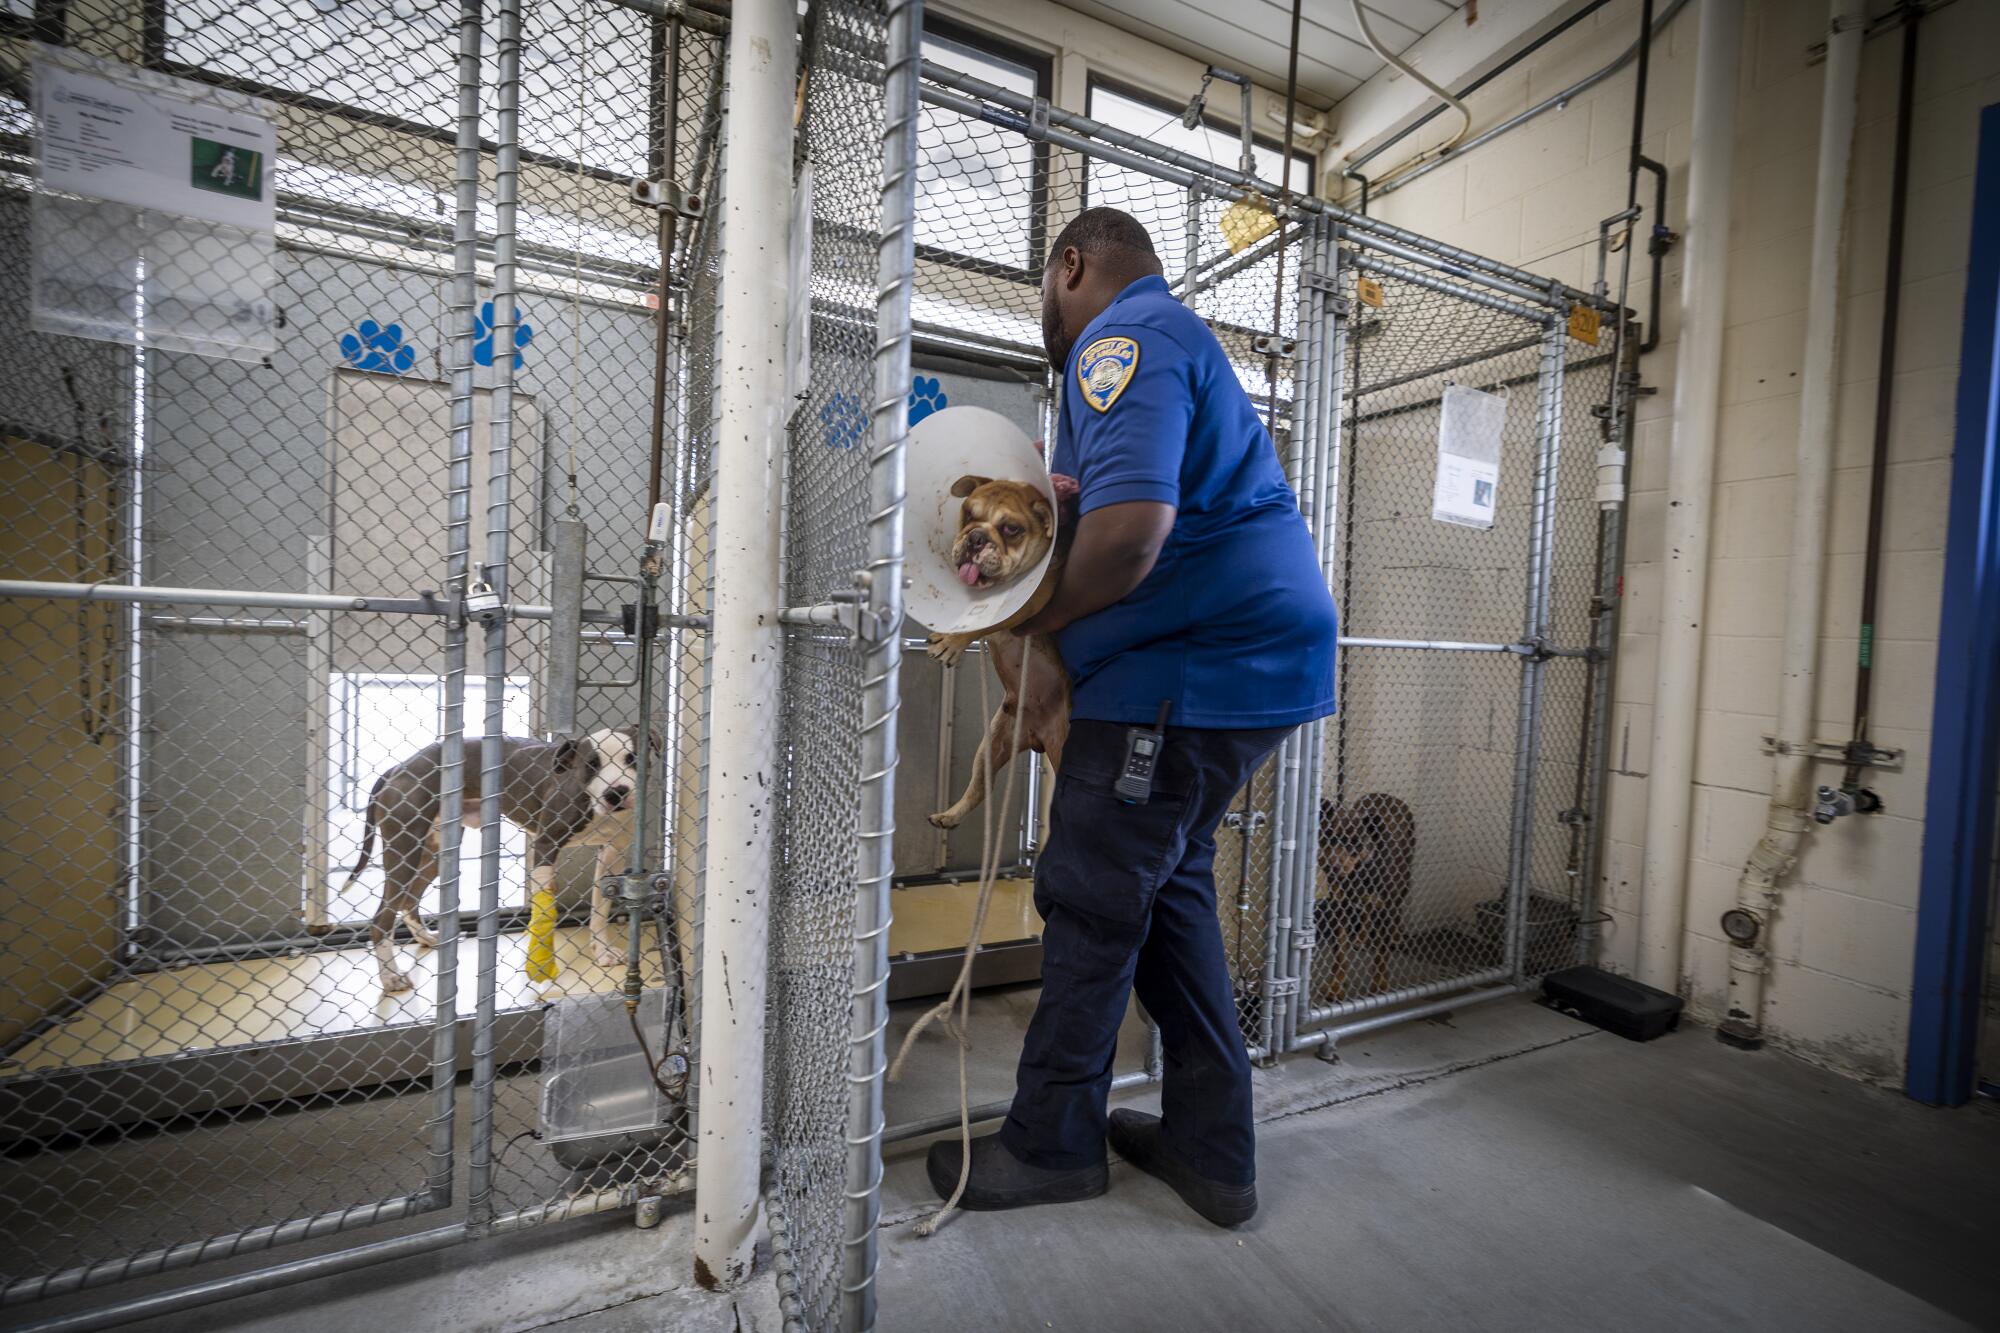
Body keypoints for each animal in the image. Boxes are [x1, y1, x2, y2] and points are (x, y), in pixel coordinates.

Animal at [332, 728, 652, 984]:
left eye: (632, 759)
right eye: (592, 765)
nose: (616, 792)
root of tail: (398, 768)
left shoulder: (612, 853)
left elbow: (600, 910)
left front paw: (602, 952)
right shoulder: (545, 845)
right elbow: (545, 910)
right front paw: (541, 962)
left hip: (432, 853)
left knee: (409, 899)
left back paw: (426, 939)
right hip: (404, 851)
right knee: (382, 919)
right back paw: (391, 978)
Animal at [1320, 788, 1416, 996]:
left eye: (1356, 844)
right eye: (1328, 836)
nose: (1332, 866)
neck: (1359, 871)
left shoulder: (1387, 908)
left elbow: (1382, 953)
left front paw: (1380, 984)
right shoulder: (1340, 907)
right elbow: (1340, 952)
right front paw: (1336, 985)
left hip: (1404, 880)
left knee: (1397, 908)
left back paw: (1396, 935)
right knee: (1367, 910)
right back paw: (1361, 938)